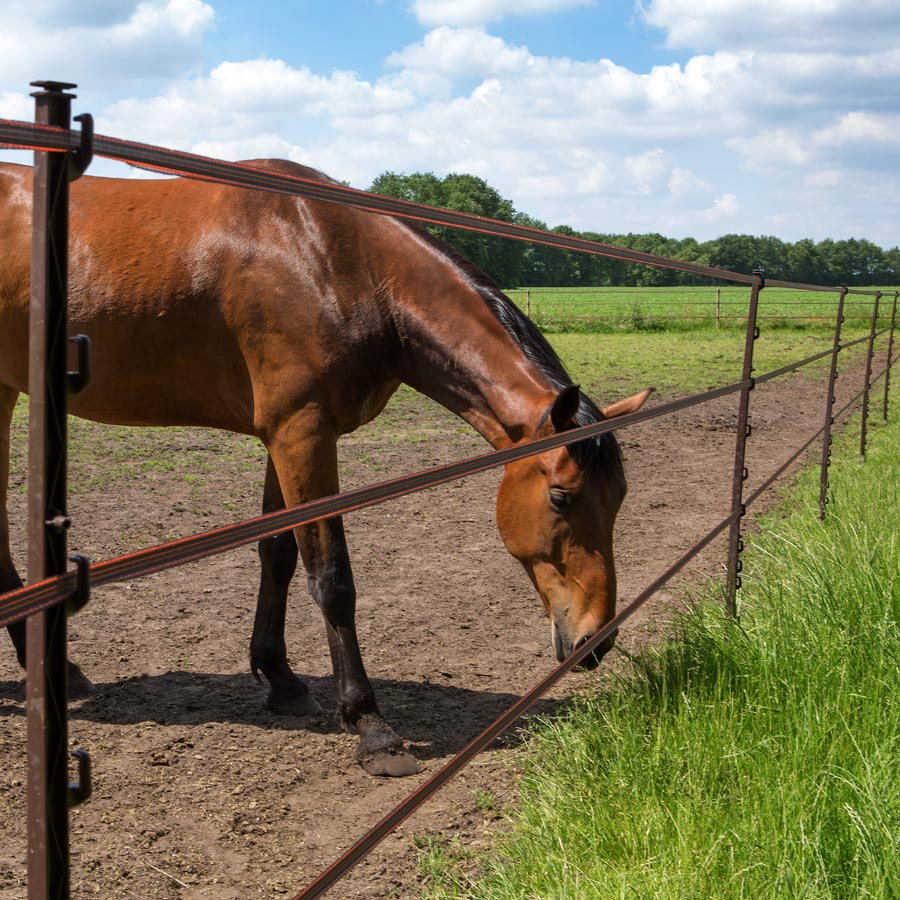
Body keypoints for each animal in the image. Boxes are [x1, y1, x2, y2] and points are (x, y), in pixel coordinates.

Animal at [0, 160, 648, 772]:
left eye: (618, 498)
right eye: (562, 497)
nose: (597, 638)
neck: (333, 259)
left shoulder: (282, 438)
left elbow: (279, 554)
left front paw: (281, 679)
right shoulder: (303, 435)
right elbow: (331, 577)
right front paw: (370, 725)